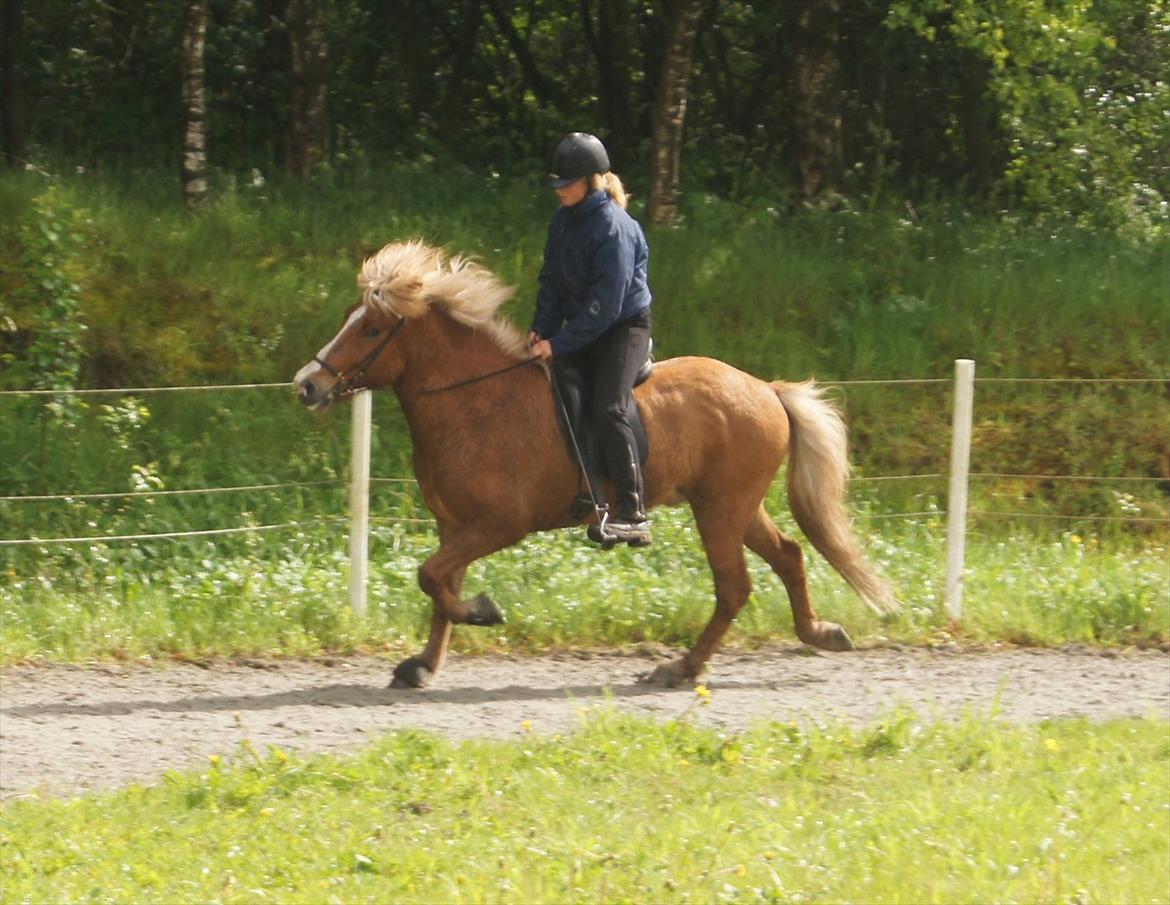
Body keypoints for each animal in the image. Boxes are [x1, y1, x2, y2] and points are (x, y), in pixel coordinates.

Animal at [292, 240, 893, 687]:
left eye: (372, 329)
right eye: (350, 318)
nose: (307, 385)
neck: (475, 401)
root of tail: (766, 389)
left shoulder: (499, 525)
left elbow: (432, 578)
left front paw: (483, 612)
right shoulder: (455, 525)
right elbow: (440, 585)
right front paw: (422, 665)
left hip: (721, 509)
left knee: (734, 587)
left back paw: (682, 668)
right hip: (734, 505)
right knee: (788, 556)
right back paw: (818, 634)